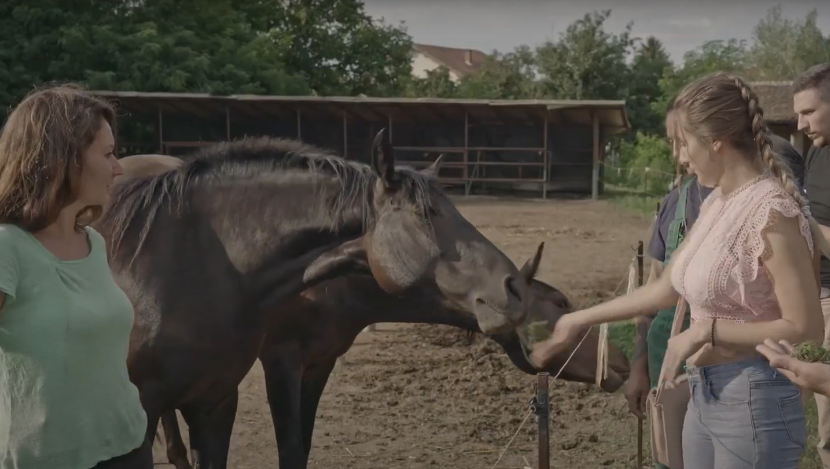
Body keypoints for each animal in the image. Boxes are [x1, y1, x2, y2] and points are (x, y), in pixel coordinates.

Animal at [94, 131, 528, 468]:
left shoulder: (226, 398)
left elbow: (299, 448)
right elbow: (289, 448)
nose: (514, 287)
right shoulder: (279, 360)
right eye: (426, 213)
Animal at [158, 245, 632, 468]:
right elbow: (290, 449)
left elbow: (303, 446)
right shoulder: (281, 361)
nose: (622, 363)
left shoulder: (319, 362)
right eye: (561, 302)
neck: (329, 284)